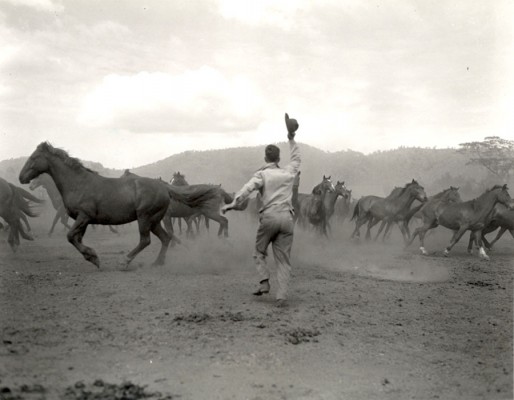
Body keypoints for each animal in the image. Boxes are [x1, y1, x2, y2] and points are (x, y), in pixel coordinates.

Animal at [19, 142, 220, 268]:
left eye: (34, 157)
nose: (21, 178)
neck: (78, 183)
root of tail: (163, 186)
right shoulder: (82, 220)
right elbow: (76, 238)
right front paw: (91, 257)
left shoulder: (84, 217)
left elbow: (70, 236)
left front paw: (93, 256)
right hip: (154, 220)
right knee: (165, 238)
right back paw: (158, 262)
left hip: (145, 218)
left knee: (146, 240)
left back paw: (126, 261)